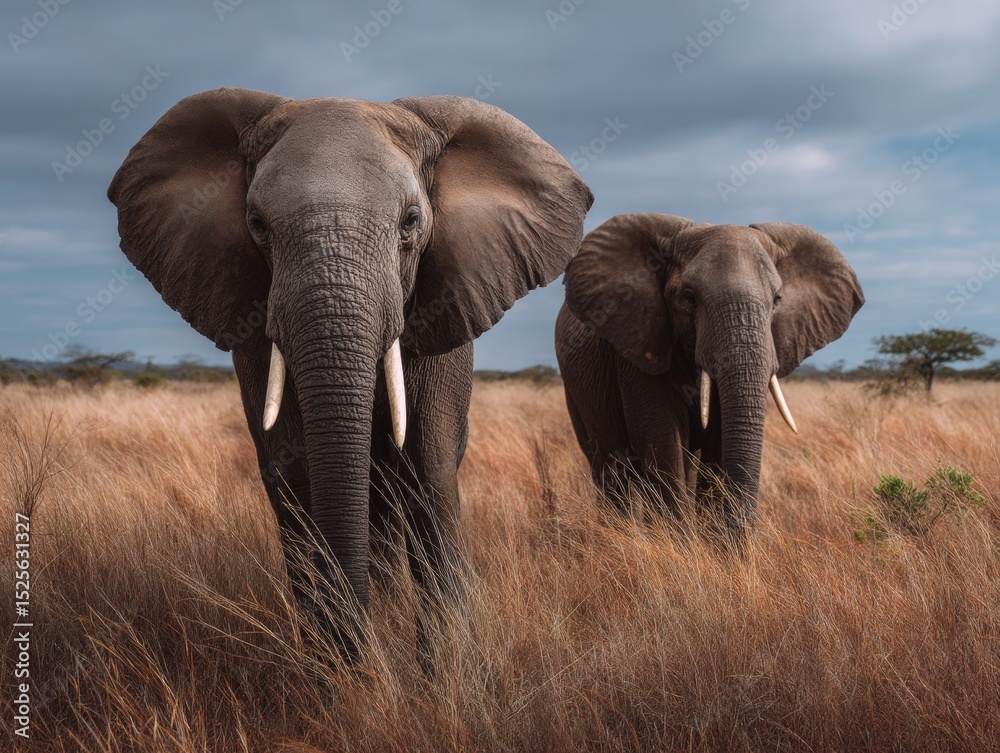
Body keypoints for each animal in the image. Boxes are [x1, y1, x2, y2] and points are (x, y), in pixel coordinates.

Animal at [108, 87, 592, 653]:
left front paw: (448, 664)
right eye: (257, 225)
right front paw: (333, 663)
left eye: (411, 221)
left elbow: (426, 465)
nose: (363, 646)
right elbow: (292, 470)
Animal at [555, 213, 863, 538]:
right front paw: (680, 543)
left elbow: (718, 445)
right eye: (689, 298)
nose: (741, 538)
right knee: (610, 465)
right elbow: (662, 439)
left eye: (778, 299)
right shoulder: (639, 345)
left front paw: (711, 541)